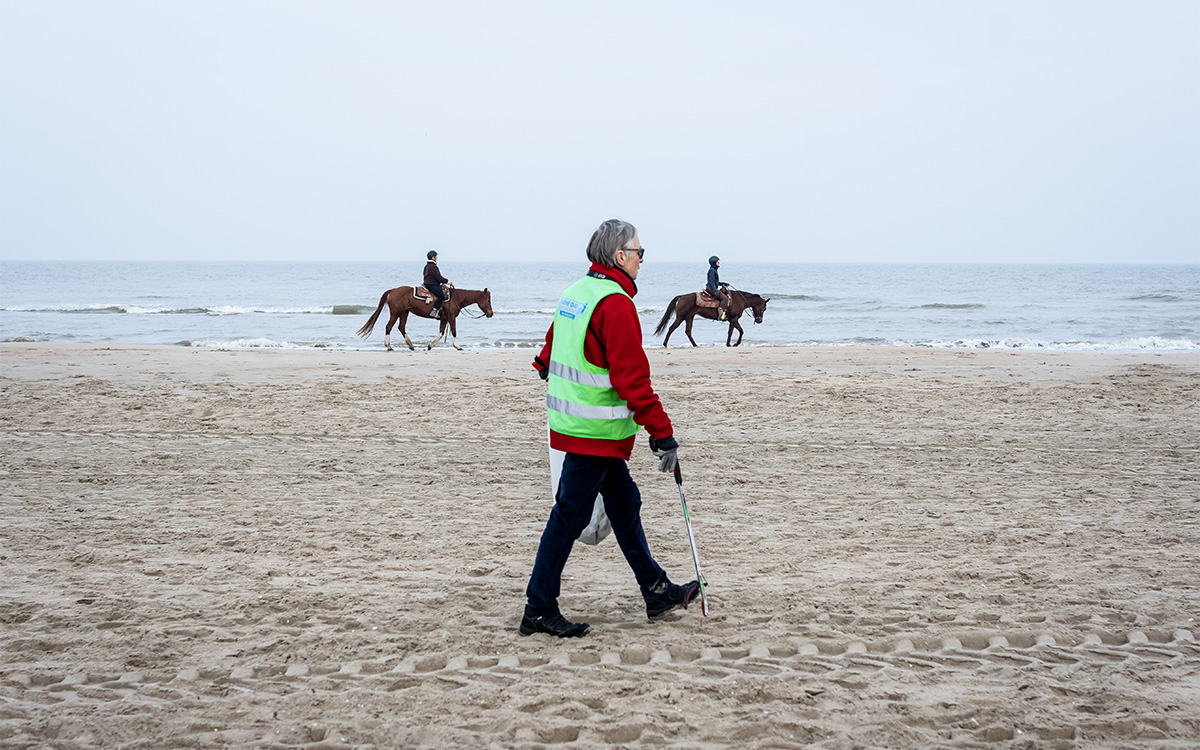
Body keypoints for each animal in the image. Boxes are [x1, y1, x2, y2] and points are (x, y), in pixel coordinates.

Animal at [355, 286, 492, 350]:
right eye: (488, 300)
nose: (491, 314)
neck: (455, 298)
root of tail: (393, 290)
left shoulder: (444, 319)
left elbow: (441, 333)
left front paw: (430, 345)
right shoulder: (451, 317)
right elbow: (453, 331)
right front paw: (458, 346)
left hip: (404, 313)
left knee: (401, 327)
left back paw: (410, 345)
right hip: (395, 313)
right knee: (389, 326)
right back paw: (389, 346)